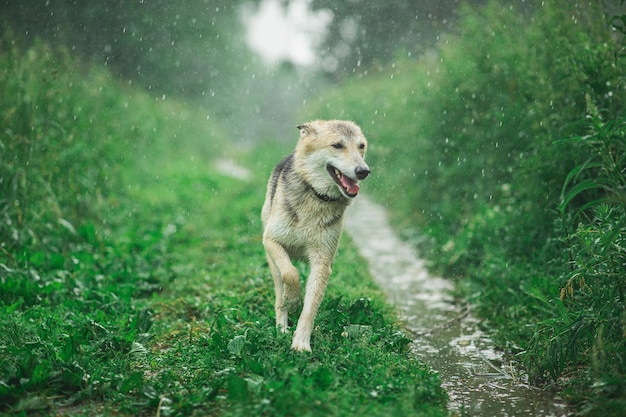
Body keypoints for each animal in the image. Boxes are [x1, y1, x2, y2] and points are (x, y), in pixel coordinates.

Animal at [260, 119, 368, 352]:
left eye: (361, 146)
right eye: (337, 145)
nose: (364, 171)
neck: (316, 196)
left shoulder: (322, 262)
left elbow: (310, 308)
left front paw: (301, 343)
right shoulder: (271, 240)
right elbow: (291, 273)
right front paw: (293, 300)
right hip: (272, 262)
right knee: (279, 293)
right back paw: (281, 328)